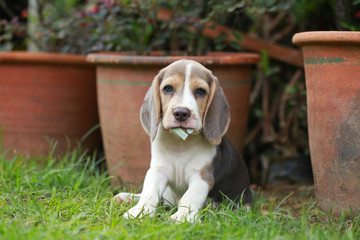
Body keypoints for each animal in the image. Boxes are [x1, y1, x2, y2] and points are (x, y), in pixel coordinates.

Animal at [115, 59, 253, 222]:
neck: (181, 143)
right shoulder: (157, 170)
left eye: (200, 91)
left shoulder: (201, 177)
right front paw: (139, 212)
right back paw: (127, 197)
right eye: (168, 88)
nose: (181, 113)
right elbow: (149, 192)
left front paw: (183, 217)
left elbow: (190, 197)